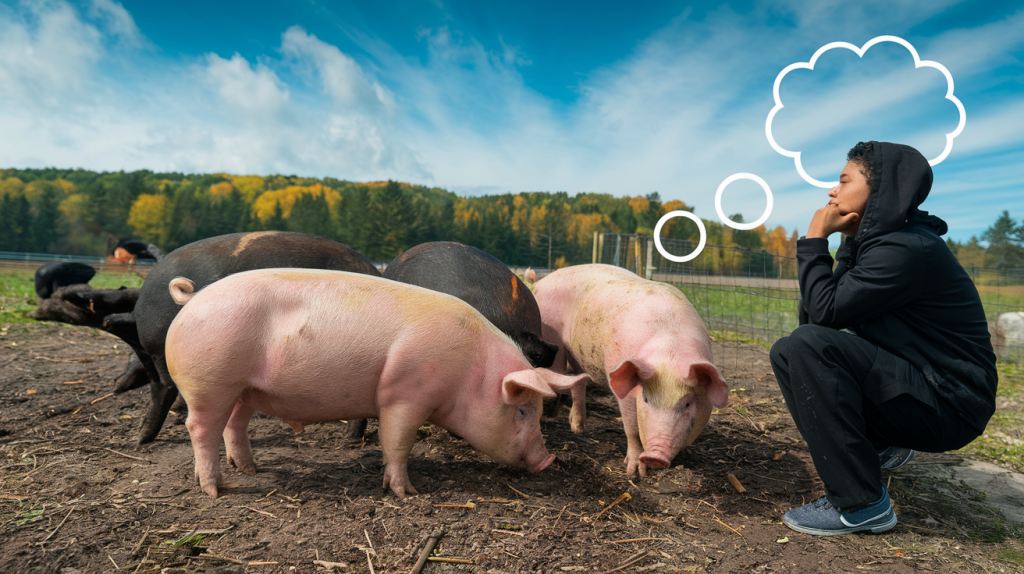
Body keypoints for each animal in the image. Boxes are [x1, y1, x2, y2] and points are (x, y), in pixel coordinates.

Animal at [164, 269, 588, 498]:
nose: (548, 459)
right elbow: (397, 442)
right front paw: (407, 492)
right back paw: (215, 489)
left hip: (244, 389)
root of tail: (192, 299)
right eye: (521, 410)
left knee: (234, 425)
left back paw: (250, 470)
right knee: (200, 428)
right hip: (209, 383)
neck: (471, 374)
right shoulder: (403, 394)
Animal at [532, 264, 728, 478]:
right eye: (646, 399)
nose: (655, 456)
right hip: (553, 341)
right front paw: (635, 473)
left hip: (579, 354)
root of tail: (542, 282)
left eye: (687, 404)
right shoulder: (622, 383)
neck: (669, 351)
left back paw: (579, 429)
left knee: (579, 382)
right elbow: (632, 428)